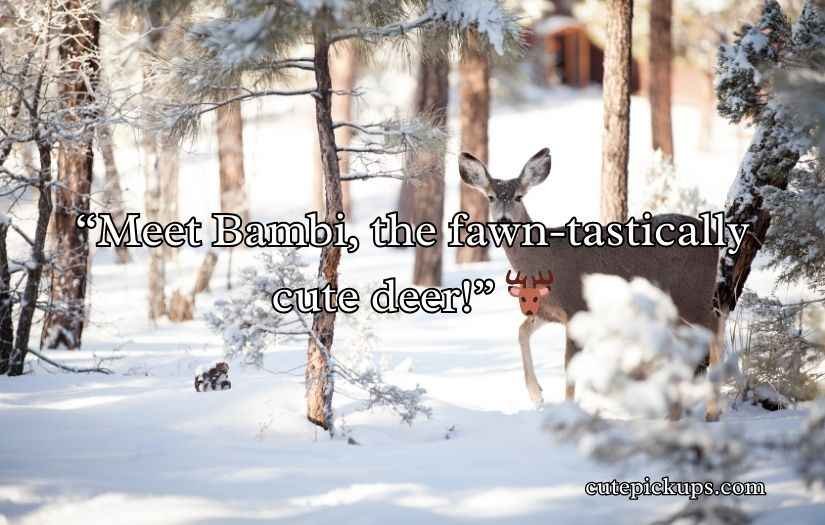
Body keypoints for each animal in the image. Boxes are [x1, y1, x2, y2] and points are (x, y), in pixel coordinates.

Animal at [458, 148, 722, 421]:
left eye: (519, 197)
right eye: (490, 197)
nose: (504, 220)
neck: (543, 259)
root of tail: (714, 237)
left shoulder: (576, 305)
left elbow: (569, 365)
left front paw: (568, 412)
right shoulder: (548, 311)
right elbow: (521, 332)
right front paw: (536, 395)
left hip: (692, 293)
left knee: (715, 328)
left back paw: (712, 411)